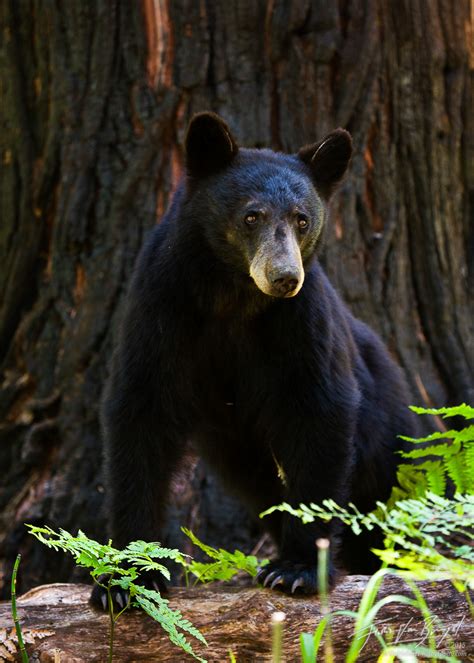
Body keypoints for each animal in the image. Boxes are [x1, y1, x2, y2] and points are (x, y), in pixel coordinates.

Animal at [90, 110, 412, 608]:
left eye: (302, 219)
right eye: (251, 215)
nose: (284, 277)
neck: (233, 297)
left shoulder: (300, 325)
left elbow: (320, 415)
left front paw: (295, 570)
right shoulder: (160, 310)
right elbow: (141, 416)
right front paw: (125, 581)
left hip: (393, 440)